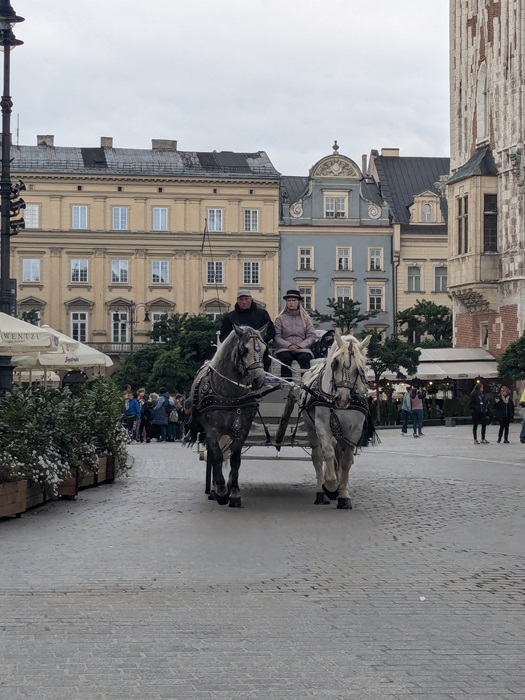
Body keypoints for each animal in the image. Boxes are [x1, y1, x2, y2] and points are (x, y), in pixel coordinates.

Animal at [300, 330, 370, 512]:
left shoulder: (355, 430)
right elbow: (328, 453)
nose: (342, 399)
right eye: (336, 363)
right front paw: (330, 486)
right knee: (318, 457)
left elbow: (346, 461)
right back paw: (320, 491)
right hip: (312, 429)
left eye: (359, 369)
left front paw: (343, 495)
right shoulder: (322, 426)